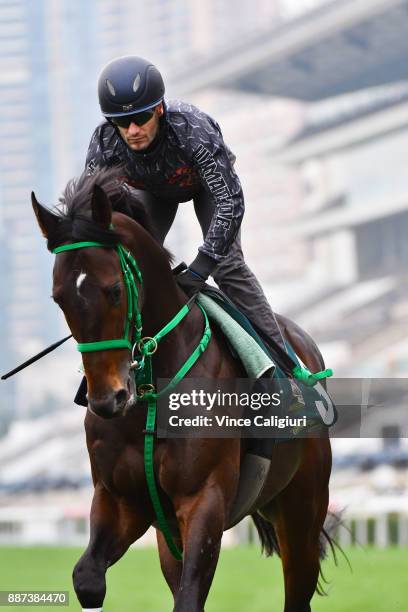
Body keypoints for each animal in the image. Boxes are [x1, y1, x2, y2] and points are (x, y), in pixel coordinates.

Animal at [31, 170, 332, 612]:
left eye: (114, 290)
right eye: (59, 298)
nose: (107, 399)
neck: (149, 395)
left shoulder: (204, 499)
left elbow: (189, 597)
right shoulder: (122, 500)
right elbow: (88, 578)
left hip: (301, 511)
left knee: (297, 591)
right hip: (169, 534)